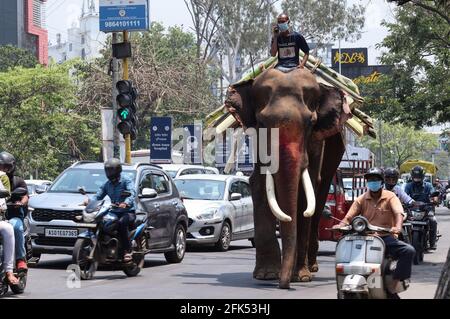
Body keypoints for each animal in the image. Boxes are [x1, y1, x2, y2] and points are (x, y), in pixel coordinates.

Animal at [225, 68, 352, 290]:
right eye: (262, 123)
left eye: (311, 123)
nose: (283, 285)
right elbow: (258, 183)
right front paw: (267, 275)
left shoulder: (316, 142)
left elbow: (306, 190)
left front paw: (300, 277)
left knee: (320, 192)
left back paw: (312, 267)